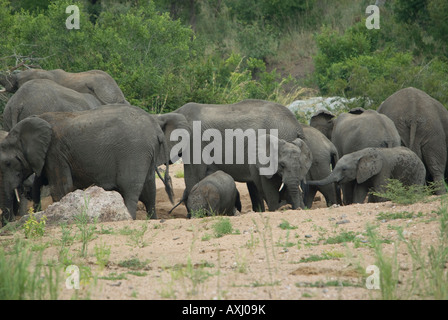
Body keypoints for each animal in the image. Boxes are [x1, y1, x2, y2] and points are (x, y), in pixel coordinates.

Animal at [0, 105, 173, 222]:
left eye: (7, 163)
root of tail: (156, 129)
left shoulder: (55, 152)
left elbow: (60, 188)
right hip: (147, 153)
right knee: (149, 191)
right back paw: (152, 219)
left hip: (134, 151)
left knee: (130, 189)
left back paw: (128, 218)